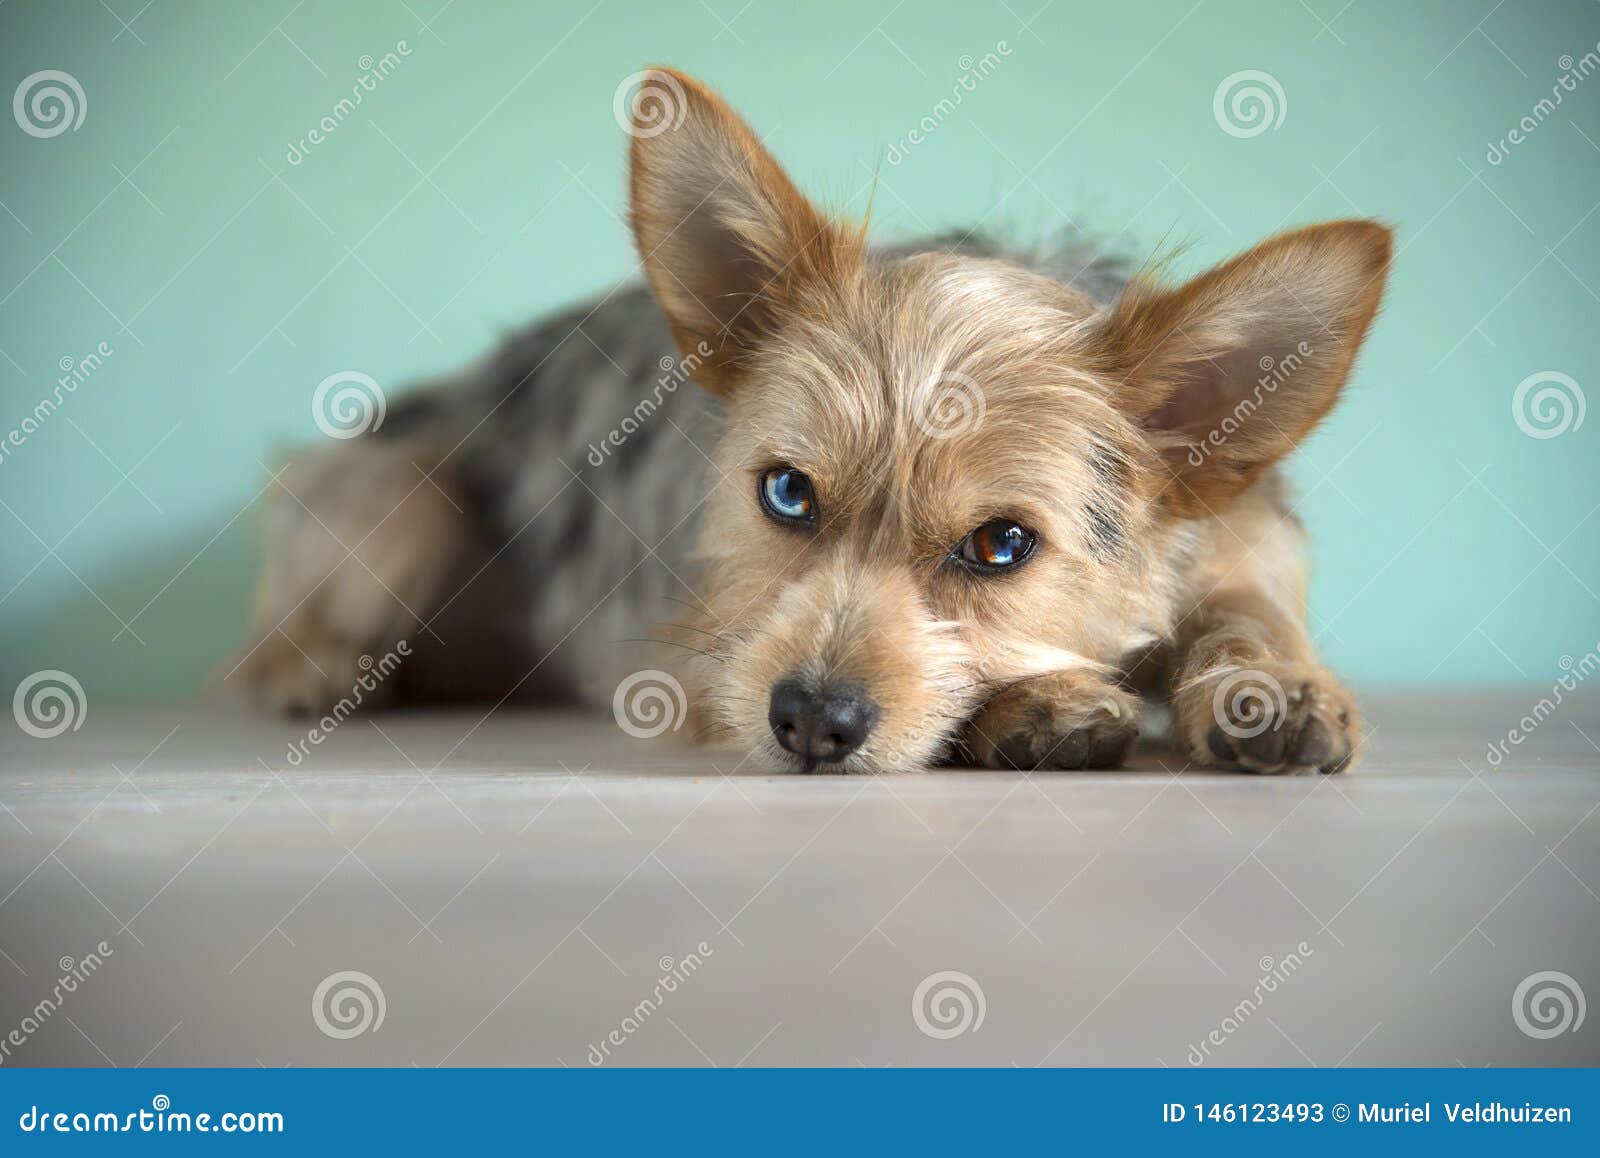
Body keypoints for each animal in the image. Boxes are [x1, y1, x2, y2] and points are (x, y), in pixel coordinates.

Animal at [232, 69, 1395, 777]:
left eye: (1001, 545)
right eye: (786, 493)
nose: (807, 722)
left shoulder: (1244, 537)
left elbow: (1246, 607)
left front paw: (1268, 682)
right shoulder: (704, 650)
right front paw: (1035, 707)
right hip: (400, 494)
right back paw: (317, 674)